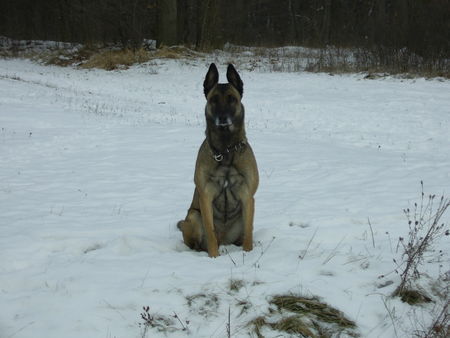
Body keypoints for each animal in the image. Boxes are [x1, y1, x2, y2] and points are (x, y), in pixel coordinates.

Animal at [178, 63, 258, 258]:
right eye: (213, 99)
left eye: (232, 99)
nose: (222, 118)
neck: (225, 149)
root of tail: (225, 241)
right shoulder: (205, 196)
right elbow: (210, 232)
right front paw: (214, 257)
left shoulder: (248, 197)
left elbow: (248, 233)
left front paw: (248, 254)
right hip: (193, 217)